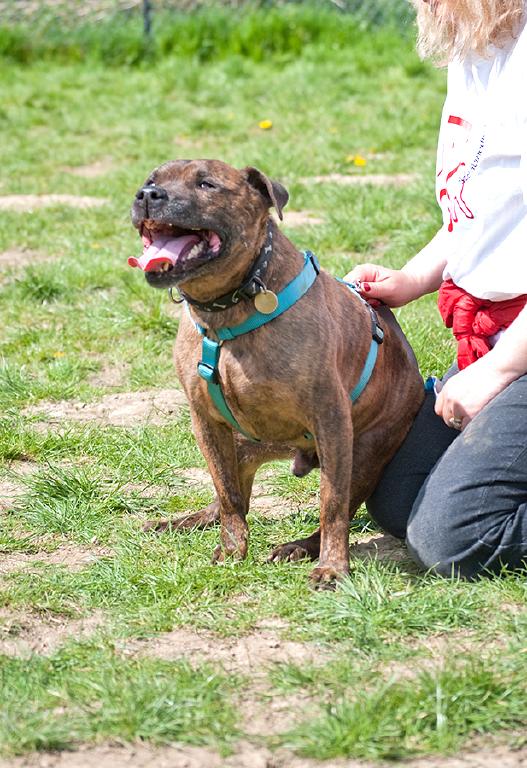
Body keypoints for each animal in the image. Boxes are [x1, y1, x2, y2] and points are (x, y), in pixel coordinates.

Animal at [131, 159, 424, 584]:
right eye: (151, 181)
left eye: (206, 184)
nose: (148, 195)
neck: (226, 309)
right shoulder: (206, 423)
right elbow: (228, 495)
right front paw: (233, 550)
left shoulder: (332, 422)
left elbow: (332, 505)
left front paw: (332, 567)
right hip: (238, 445)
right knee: (227, 497)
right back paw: (187, 521)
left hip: (367, 452)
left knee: (337, 508)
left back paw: (300, 548)